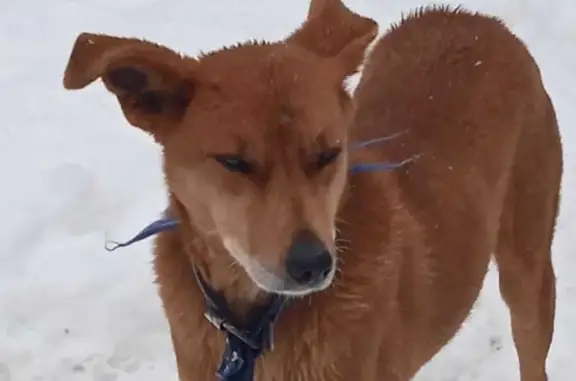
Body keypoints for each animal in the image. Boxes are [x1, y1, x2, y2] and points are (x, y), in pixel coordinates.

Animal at [63, 0, 564, 380]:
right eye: (234, 162)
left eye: (329, 153)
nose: (312, 265)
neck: (255, 331)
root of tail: (473, 17)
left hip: (528, 269)